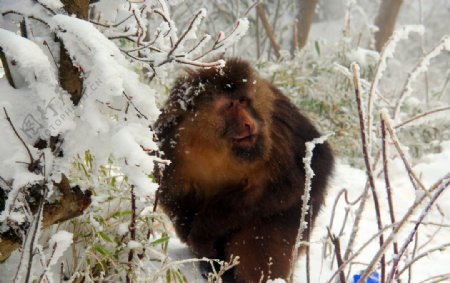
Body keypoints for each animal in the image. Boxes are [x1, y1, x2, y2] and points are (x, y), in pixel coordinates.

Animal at [155, 57, 334, 282]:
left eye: (244, 101)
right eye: (230, 105)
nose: (248, 123)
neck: (212, 143)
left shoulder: (276, 127)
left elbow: (293, 180)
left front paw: (203, 231)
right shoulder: (171, 138)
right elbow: (170, 190)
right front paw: (193, 235)